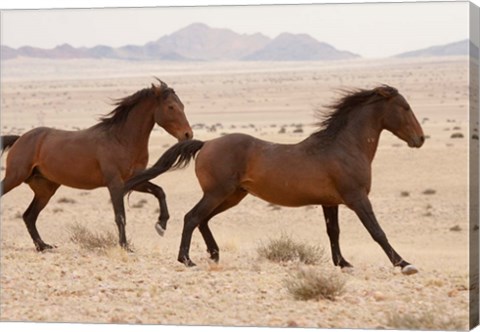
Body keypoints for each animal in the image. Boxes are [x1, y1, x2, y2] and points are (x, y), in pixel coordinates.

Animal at [2, 80, 193, 252]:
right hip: (15, 177)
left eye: (182, 106)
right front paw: (125, 246)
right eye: (171, 107)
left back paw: (43, 246)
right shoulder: (115, 183)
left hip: (45, 189)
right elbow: (120, 216)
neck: (121, 139)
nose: (188, 134)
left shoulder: (133, 180)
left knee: (29, 216)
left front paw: (161, 225)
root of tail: (20, 138)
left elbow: (160, 191)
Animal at [125, 84, 426, 274]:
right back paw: (187, 260)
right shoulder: (357, 198)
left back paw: (214, 254)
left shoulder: (331, 202)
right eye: (405, 107)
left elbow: (334, 232)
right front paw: (404, 264)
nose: (420, 139)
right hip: (218, 193)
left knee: (203, 219)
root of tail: (206, 143)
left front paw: (343, 263)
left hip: (232, 196)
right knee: (192, 217)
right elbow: (377, 231)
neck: (344, 147)